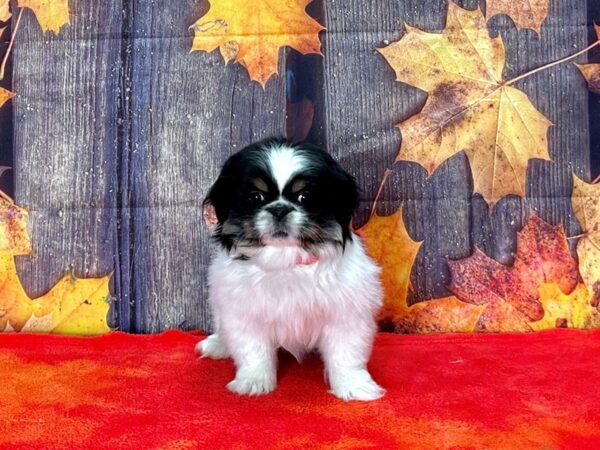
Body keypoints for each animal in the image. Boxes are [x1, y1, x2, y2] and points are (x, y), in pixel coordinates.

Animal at [197, 137, 384, 400]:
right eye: (256, 197)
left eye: (304, 197)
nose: (279, 209)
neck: (285, 261)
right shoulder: (244, 313)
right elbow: (253, 350)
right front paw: (254, 382)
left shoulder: (346, 313)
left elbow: (347, 354)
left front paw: (354, 386)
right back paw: (218, 345)